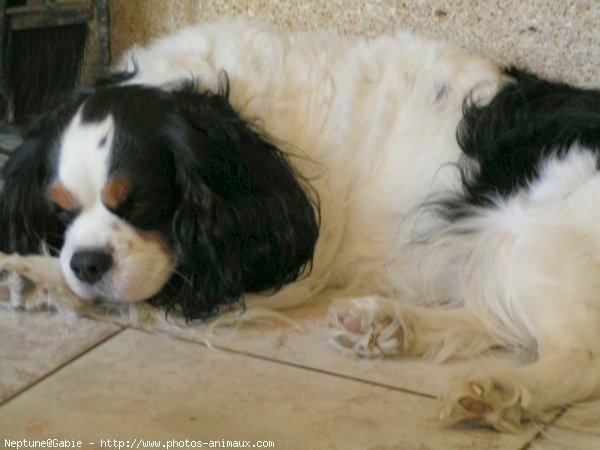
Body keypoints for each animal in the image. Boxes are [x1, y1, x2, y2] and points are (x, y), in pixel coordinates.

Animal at [1, 19, 600, 430]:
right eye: (60, 209)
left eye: (138, 203)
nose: (86, 263)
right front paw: (35, 273)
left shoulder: (267, 263)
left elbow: (154, 292)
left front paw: (39, 274)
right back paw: (387, 324)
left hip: (539, 239)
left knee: (578, 356)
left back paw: (501, 390)